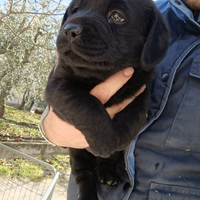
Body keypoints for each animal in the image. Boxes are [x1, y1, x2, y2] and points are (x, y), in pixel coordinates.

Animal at [45, 0, 169, 199]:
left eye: (117, 16)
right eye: (75, 10)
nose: (69, 30)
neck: (100, 74)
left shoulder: (141, 89)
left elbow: (135, 114)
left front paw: (122, 138)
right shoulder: (58, 86)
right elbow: (86, 105)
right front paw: (105, 141)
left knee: (108, 161)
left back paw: (108, 174)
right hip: (77, 153)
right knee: (84, 175)